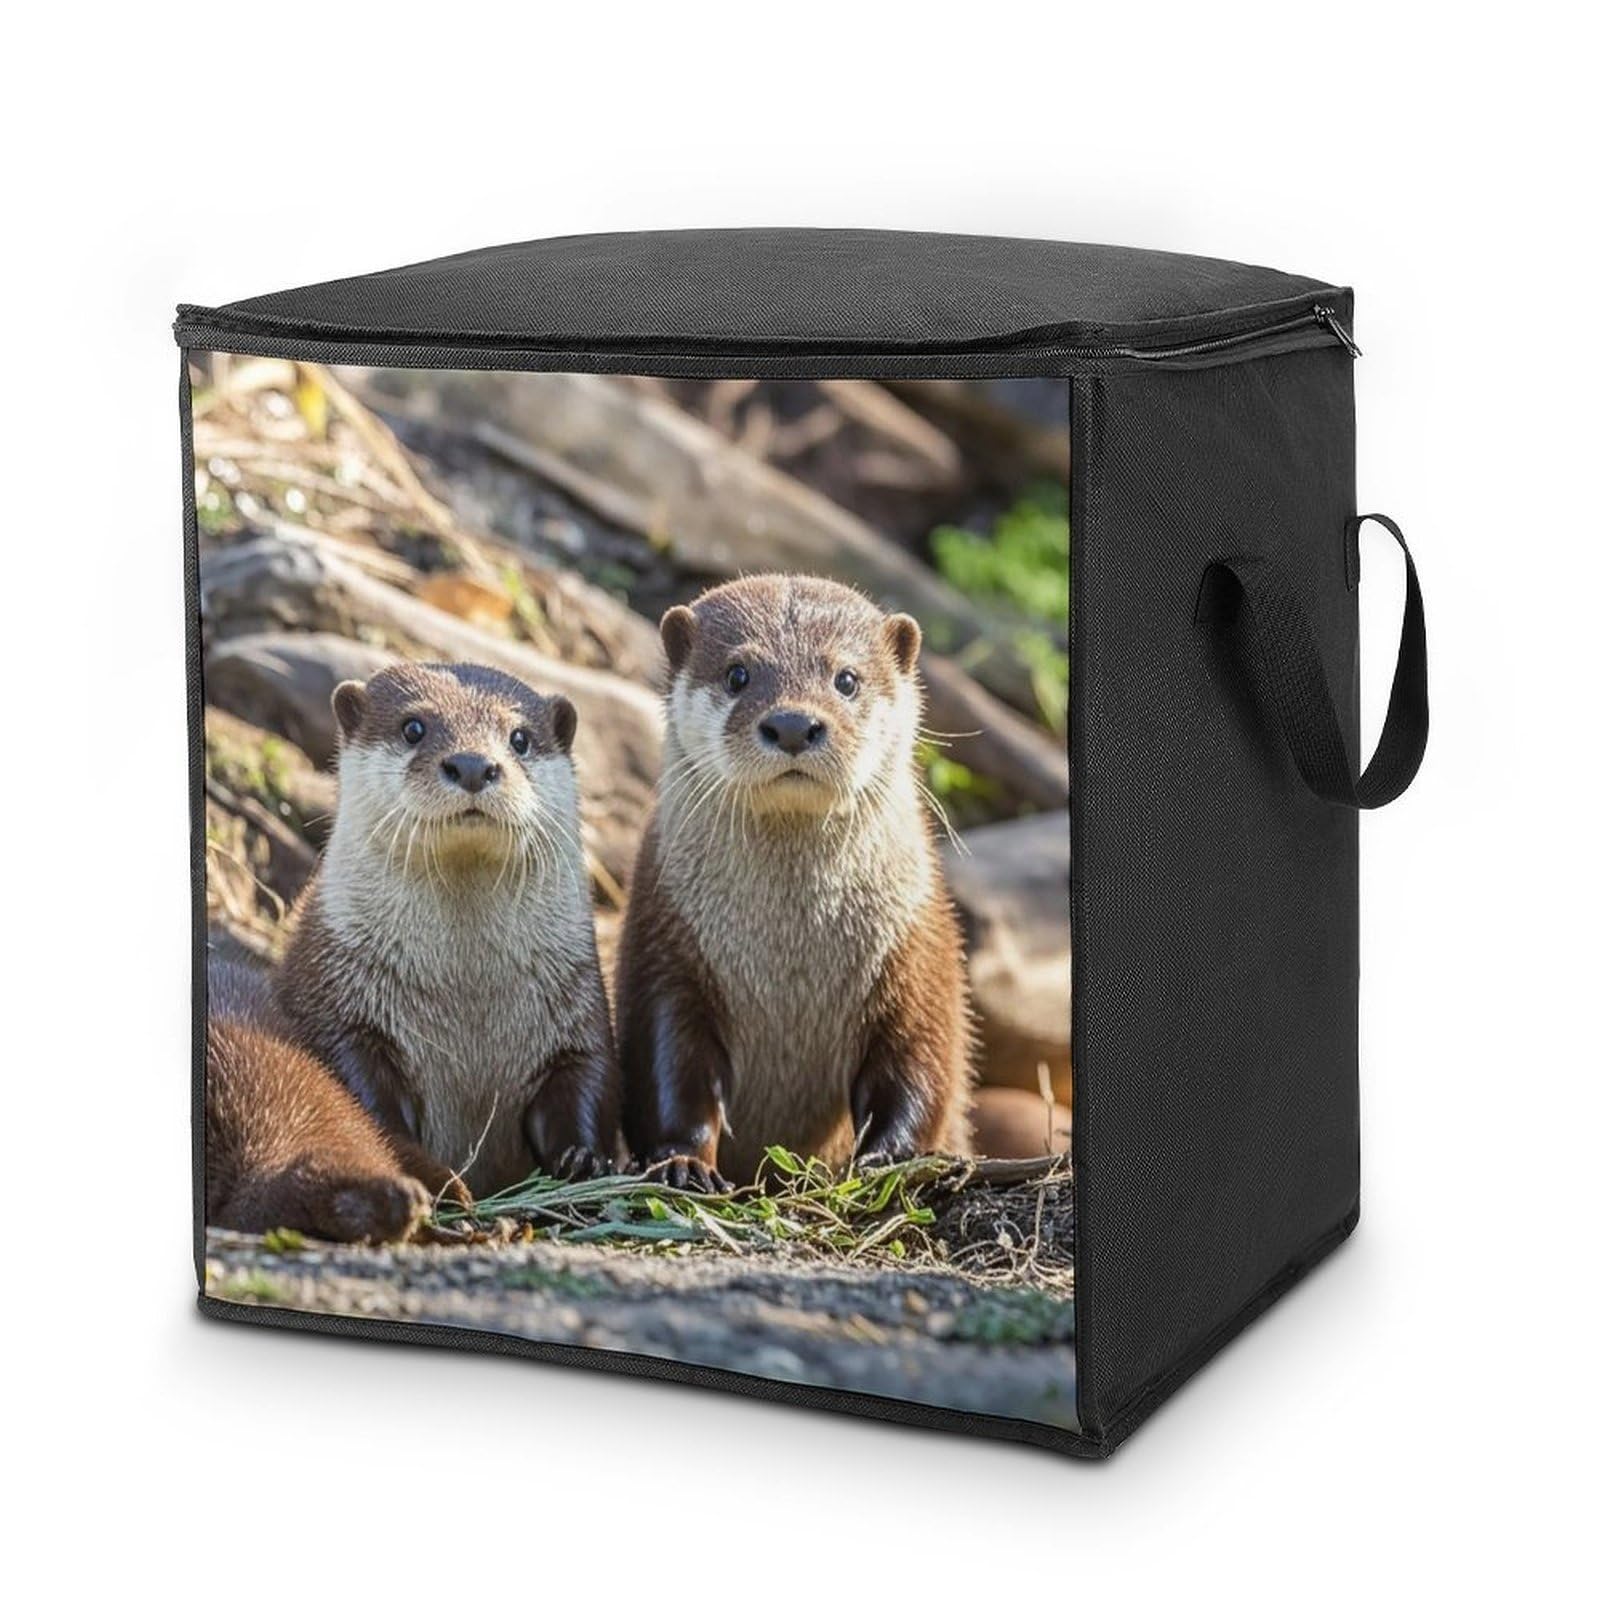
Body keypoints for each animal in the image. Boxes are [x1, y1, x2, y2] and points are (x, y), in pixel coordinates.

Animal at [206, 662, 620, 1241]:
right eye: (413, 728)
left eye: (520, 738)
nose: (472, 764)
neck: (469, 1001)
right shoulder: (341, 1007)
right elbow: (370, 1103)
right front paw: (442, 1179)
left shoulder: (576, 1003)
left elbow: (585, 1076)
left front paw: (583, 1161)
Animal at [616, 575, 973, 1190]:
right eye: (737, 674)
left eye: (846, 678)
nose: (791, 724)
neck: (792, 959)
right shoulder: (666, 942)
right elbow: (670, 1067)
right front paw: (684, 1161)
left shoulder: (917, 944)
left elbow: (921, 1059)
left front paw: (893, 1158)